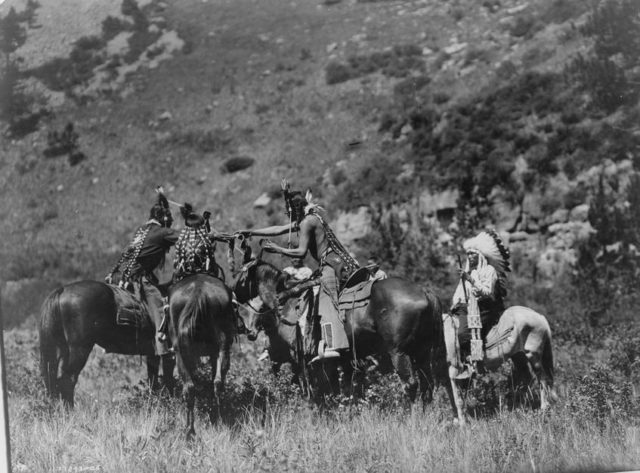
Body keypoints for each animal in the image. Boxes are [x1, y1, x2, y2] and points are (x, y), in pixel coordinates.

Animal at [39, 280, 175, 406]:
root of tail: (62, 290)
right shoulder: (170, 354)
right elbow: (168, 380)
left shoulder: (153, 354)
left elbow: (154, 381)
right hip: (80, 349)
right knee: (67, 380)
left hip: (61, 350)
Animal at [168, 272, 238, 438]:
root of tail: (198, 292)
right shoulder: (213, 353)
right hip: (221, 347)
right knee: (217, 383)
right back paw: (216, 421)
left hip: (181, 353)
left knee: (190, 387)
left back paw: (190, 429)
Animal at [232, 258, 448, 406]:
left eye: (242, 275)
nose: (248, 331)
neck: (288, 302)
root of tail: (425, 292)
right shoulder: (341, 360)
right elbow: (341, 389)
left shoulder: (301, 358)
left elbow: (312, 388)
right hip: (422, 352)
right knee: (427, 385)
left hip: (399, 352)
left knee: (410, 384)